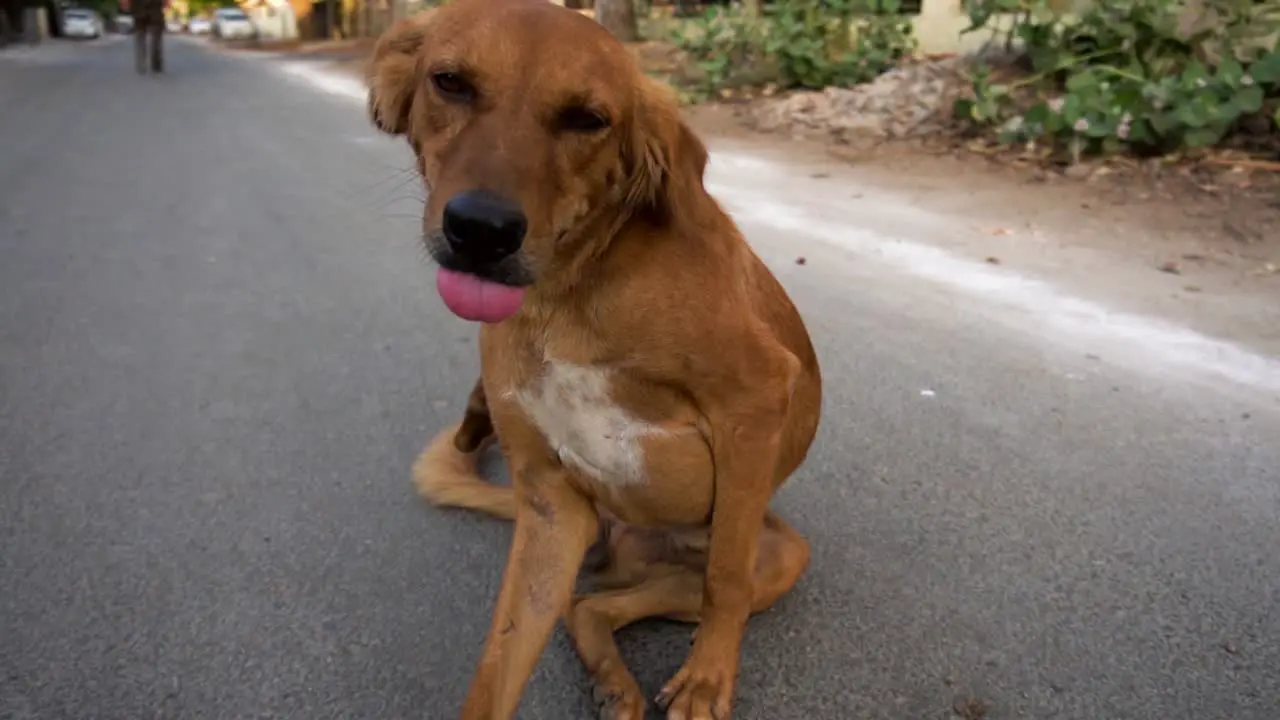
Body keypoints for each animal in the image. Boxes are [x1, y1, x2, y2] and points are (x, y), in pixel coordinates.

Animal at [368, 2, 829, 712]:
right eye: (450, 82)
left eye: (587, 119)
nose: (481, 231)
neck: (568, 296)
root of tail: (621, 532)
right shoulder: (550, 514)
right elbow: (497, 668)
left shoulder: (756, 398)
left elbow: (725, 579)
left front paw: (706, 679)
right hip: (592, 541)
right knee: (586, 606)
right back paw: (613, 683)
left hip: (775, 554)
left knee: (697, 582)